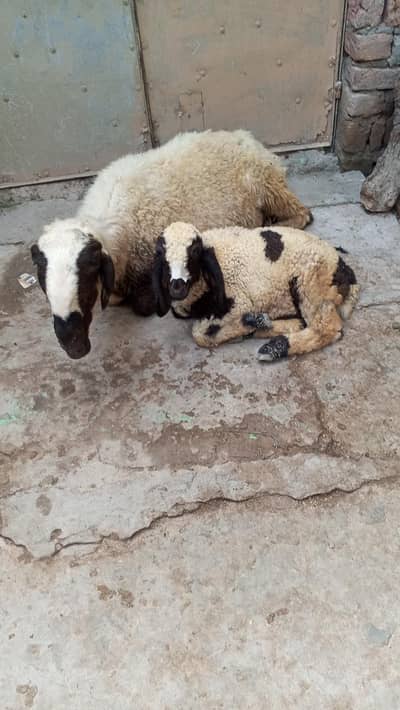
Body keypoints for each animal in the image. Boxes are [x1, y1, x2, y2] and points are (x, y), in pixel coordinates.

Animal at [30, 129, 312, 359]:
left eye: (86, 278)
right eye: (43, 283)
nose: (74, 347)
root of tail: (246, 137)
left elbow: (143, 305)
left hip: (269, 185)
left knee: (303, 215)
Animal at [152, 222, 360, 361]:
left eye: (195, 252)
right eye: (161, 255)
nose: (177, 286)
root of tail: (344, 269)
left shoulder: (239, 301)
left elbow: (201, 334)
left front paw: (254, 321)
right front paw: (259, 323)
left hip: (311, 283)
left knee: (327, 328)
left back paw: (275, 347)